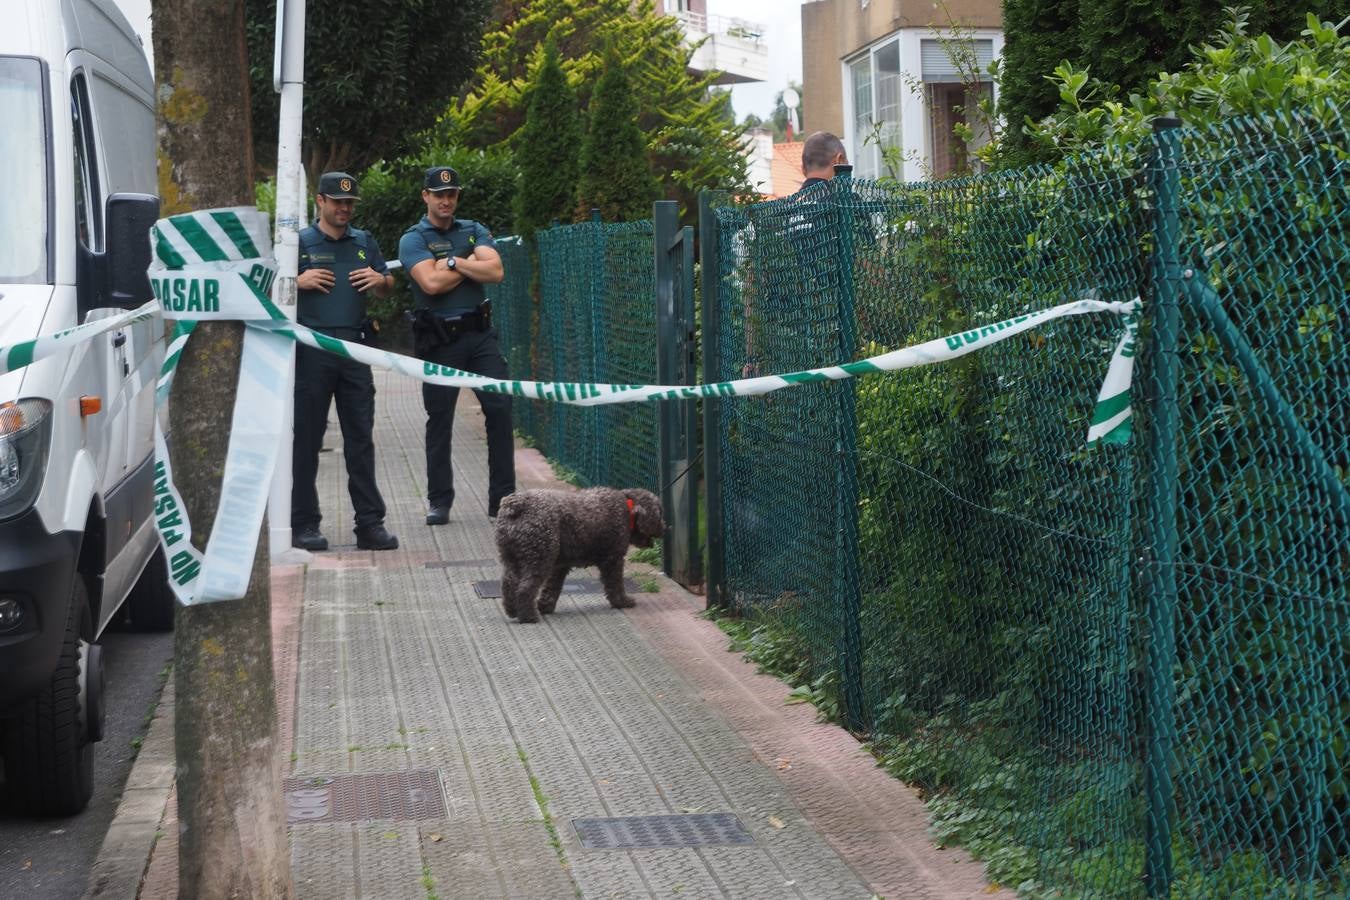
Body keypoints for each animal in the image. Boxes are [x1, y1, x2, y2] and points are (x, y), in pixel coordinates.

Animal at [496, 488, 664, 623]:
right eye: (660, 514)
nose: (666, 527)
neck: (627, 507)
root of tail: (517, 505)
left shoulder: (559, 567)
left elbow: (552, 588)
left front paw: (545, 606)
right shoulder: (613, 561)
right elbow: (616, 585)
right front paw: (622, 602)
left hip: (513, 559)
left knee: (508, 585)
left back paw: (512, 610)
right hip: (538, 559)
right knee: (525, 589)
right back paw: (529, 616)